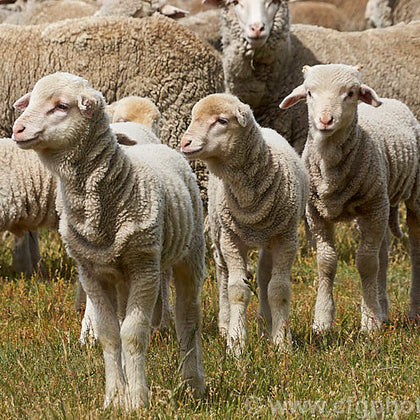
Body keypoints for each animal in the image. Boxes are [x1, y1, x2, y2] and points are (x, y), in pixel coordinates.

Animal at [13, 72, 208, 410]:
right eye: (31, 100)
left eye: (61, 106)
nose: (17, 128)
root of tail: (163, 146)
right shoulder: (92, 273)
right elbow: (108, 334)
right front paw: (115, 398)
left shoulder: (144, 267)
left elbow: (133, 334)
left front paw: (138, 400)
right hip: (120, 276)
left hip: (189, 256)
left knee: (188, 321)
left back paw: (192, 383)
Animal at [180, 92, 308, 354]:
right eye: (194, 117)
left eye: (221, 121)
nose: (185, 143)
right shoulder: (231, 239)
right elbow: (237, 290)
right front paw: (236, 344)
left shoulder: (287, 238)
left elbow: (278, 289)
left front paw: (282, 343)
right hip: (218, 232)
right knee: (223, 276)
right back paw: (225, 325)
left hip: (269, 238)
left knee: (264, 275)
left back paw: (264, 327)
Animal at [278, 63, 420, 332]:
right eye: (309, 93)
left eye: (350, 93)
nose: (325, 120)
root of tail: (391, 100)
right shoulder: (316, 214)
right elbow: (326, 263)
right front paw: (322, 321)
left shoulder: (372, 208)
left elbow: (365, 263)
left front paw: (369, 323)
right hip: (381, 203)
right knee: (382, 252)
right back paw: (382, 308)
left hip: (410, 197)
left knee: (414, 246)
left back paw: (413, 311)